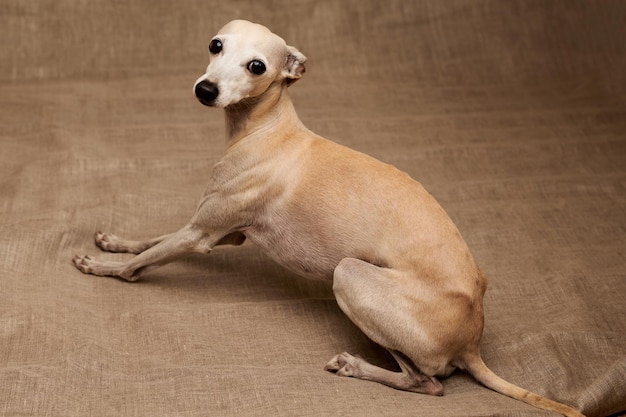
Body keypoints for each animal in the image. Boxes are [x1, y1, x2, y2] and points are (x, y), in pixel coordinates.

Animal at [72, 19, 580, 416]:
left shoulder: (202, 233)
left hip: (350, 276)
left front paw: (103, 267)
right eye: (216, 45)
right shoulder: (217, 230)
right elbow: (151, 240)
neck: (267, 129)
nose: (205, 89)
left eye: (257, 66)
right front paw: (115, 242)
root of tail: (473, 339)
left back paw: (356, 365)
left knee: (429, 382)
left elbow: (145, 260)